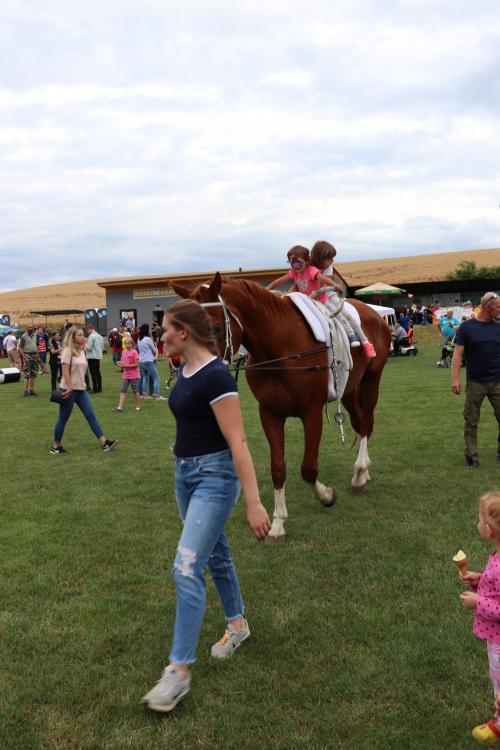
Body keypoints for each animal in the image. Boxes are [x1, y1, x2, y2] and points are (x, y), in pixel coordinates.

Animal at [170, 274, 392, 544]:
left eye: (215, 328)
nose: (200, 369)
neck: (282, 349)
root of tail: (372, 313)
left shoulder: (311, 413)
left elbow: (308, 469)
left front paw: (326, 495)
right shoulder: (269, 413)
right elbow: (278, 468)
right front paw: (277, 525)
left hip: (371, 381)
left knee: (366, 423)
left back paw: (360, 474)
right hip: (349, 389)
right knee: (360, 424)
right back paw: (364, 472)